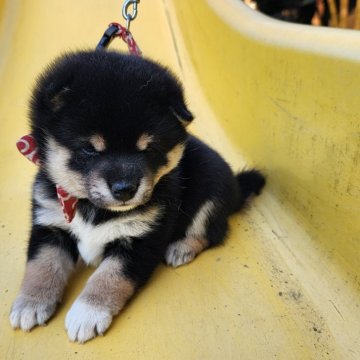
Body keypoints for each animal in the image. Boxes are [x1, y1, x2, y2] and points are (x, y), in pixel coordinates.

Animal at [9, 49, 266, 342]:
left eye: (149, 149)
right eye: (90, 149)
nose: (125, 189)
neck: (92, 208)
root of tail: (236, 187)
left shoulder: (141, 240)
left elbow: (109, 276)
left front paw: (87, 313)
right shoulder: (50, 224)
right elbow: (41, 265)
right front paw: (30, 302)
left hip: (212, 195)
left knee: (211, 232)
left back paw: (181, 248)